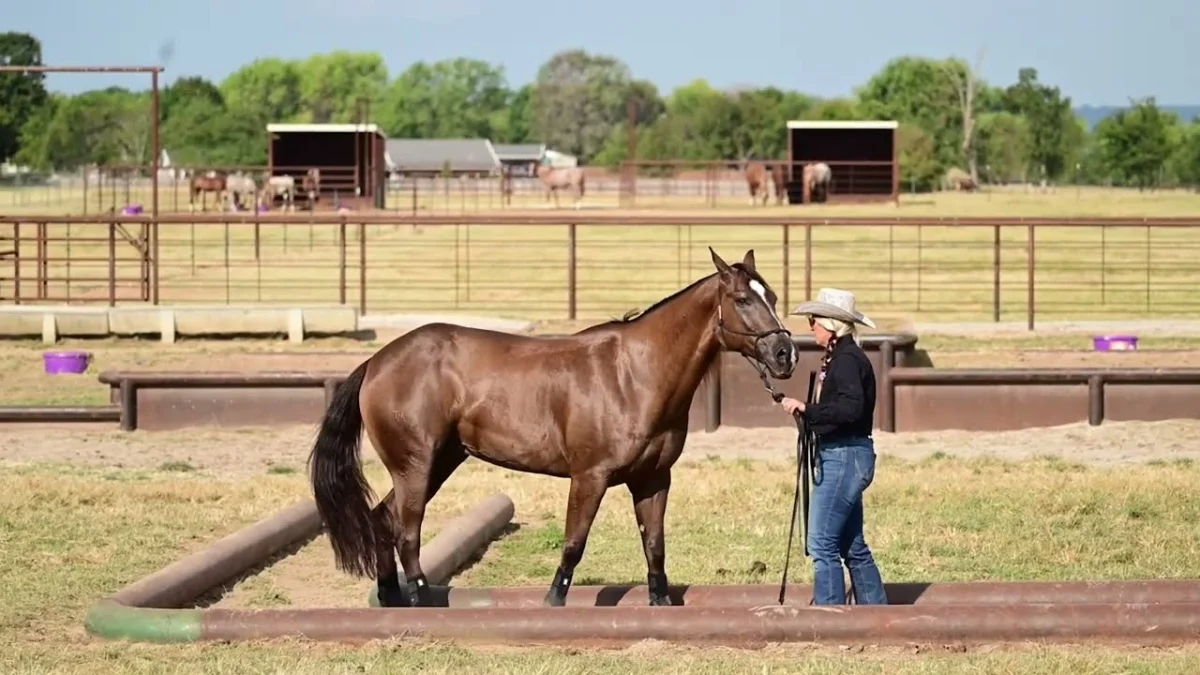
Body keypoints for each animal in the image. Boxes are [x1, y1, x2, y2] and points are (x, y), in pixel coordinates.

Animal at [307, 248, 797, 609]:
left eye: (772, 297)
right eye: (743, 300)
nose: (785, 354)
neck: (634, 375)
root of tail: (376, 362)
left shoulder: (654, 479)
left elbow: (654, 545)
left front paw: (660, 602)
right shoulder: (590, 477)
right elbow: (574, 543)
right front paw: (553, 601)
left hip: (440, 461)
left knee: (384, 519)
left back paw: (391, 596)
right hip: (417, 465)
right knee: (407, 531)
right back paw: (423, 599)